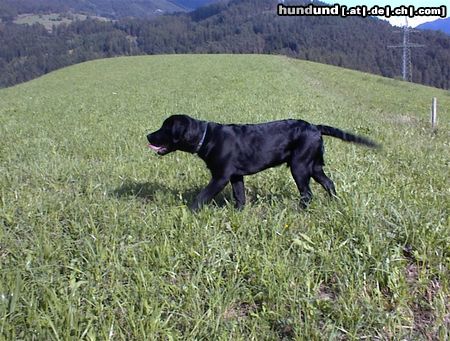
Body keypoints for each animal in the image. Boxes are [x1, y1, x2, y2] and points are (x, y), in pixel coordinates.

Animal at [147, 115, 376, 210]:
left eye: (165, 128)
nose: (148, 135)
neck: (206, 137)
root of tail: (315, 127)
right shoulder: (236, 176)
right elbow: (240, 197)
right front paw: (238, 213)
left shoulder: (221, 176)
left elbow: (202, 196)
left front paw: (190, 211)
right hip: (314, 166)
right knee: (329, 183)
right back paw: (335, 203)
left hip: (300, 166)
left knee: (307, 193)